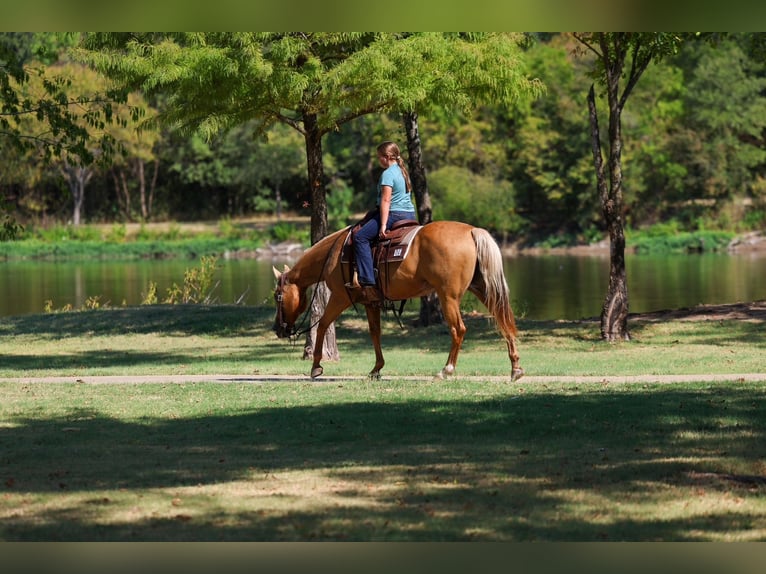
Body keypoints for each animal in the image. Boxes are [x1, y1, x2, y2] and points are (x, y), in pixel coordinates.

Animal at [272, 220, 524, 382]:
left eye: (277, 296)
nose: (277, 329)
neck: (334, 254)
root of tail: (472, 231)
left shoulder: (340, 297)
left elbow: (323, 324)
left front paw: (316, 366)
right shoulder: (370, 302)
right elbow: (375, 333)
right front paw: (376, 369)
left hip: (448, 296)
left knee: (458, 329)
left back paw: (446, 370)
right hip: (483, 289)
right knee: (504, 321)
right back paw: (515, 368)